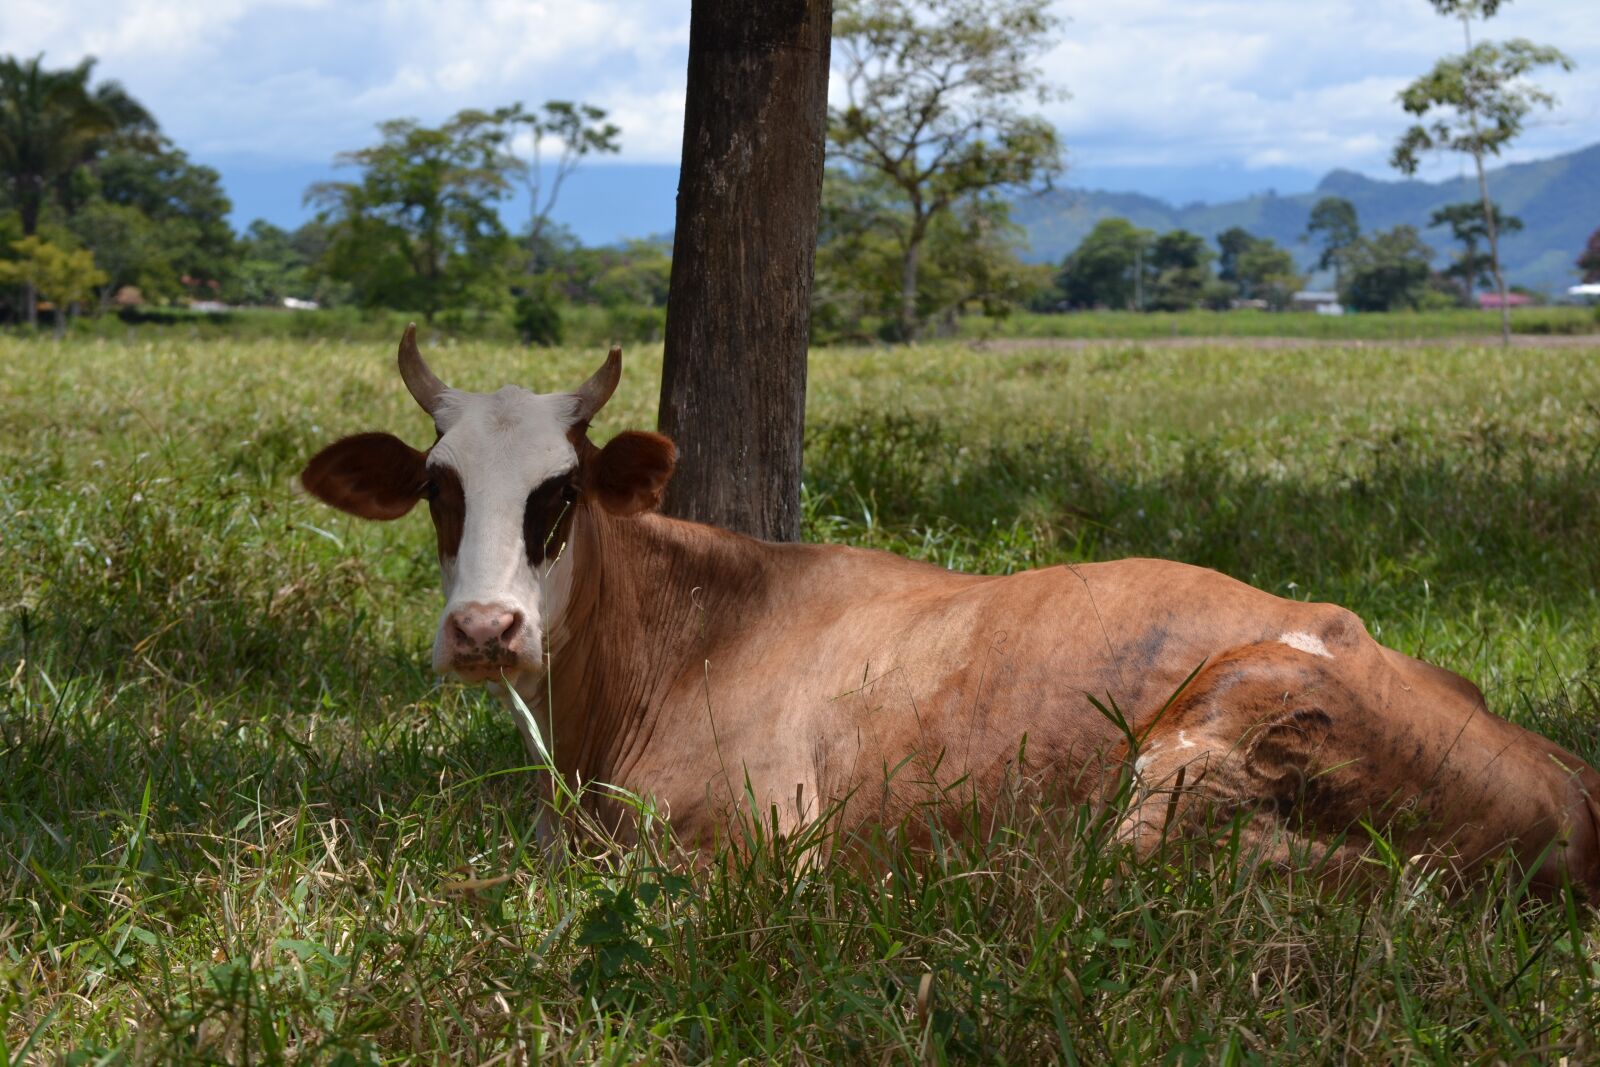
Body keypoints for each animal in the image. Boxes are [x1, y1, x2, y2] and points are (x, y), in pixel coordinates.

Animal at [300, 327, 1600, 894]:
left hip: (1206, 735)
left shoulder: (764, 839)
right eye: (438, 487)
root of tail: (1571, 783)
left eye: (559, 492)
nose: (486, 632)